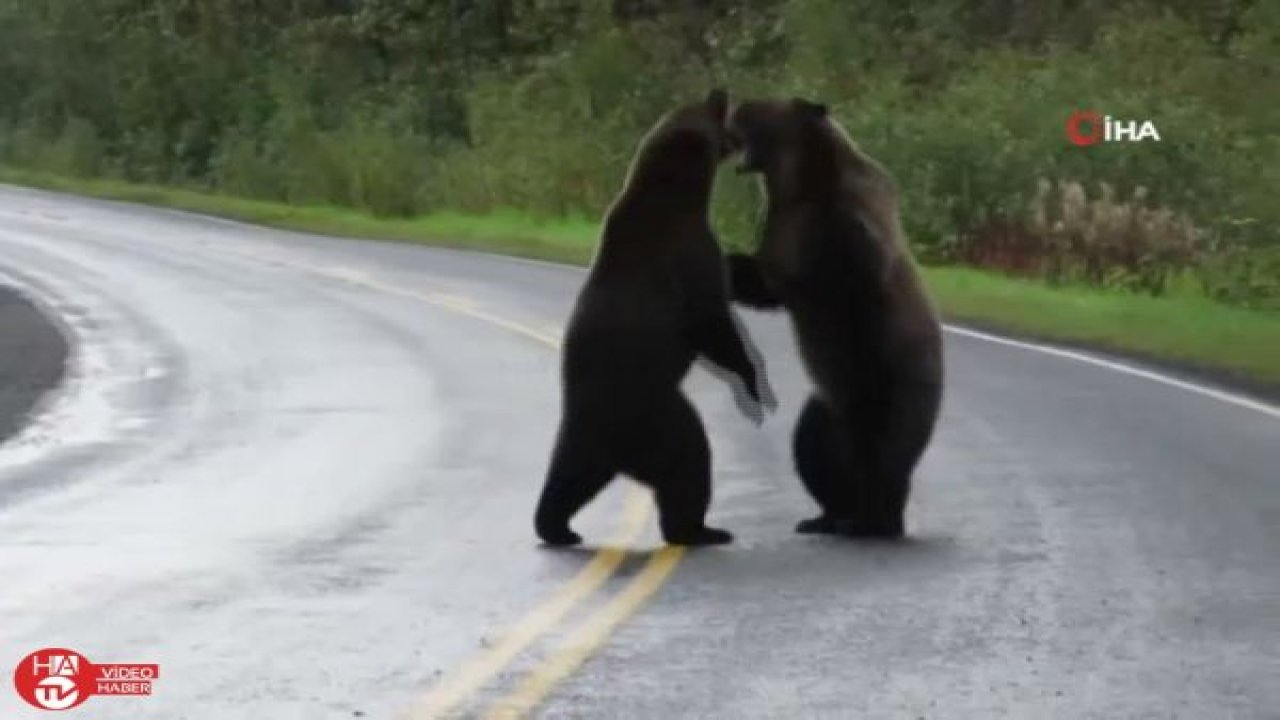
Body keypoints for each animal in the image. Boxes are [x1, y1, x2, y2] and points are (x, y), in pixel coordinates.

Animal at [535, 90, 773, 548]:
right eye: (728, 126)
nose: (740, 138)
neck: (678, 190)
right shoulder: (690, 252)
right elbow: (711, 321)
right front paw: (753, 379)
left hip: (585, 437)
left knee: (567, 479)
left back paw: (556, 527)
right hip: (660, 417)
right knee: (689, 464)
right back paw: (700, 529)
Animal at [727, 95, 947, 535]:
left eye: (759, 106)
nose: (736, 106)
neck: (800, 181)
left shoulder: (842, 233)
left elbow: (841, 282)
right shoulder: (782, 232)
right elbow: (762, 282)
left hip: (895, 391)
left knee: (882, 455)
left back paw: (872, 520)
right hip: (827, 406)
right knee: (813, 447)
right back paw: (828, 515)